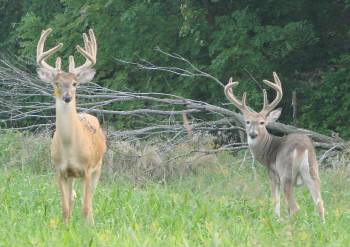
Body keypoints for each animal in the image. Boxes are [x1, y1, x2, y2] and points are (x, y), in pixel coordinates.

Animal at [36, 28, 106, 225]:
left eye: (75, 83)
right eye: (57, 83)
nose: (67, 97)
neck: (70, 147)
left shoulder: (88, 169)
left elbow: (86, 206)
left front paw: (87, 227)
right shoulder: (60, 171)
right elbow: (65, 208)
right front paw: (66, 227)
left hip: (99, 166)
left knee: (89, 200)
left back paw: (91, 222)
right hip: (72, 177)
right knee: (73, 198)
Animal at [224, 72, 326, 223]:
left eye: (262, 122)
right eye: (247, 121)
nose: (253, 134)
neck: (267, 152)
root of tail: (302, 148)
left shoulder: (272, 175)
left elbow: (275, 202)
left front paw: (275, 220)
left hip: (286, 174)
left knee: (295, 207)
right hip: (313, 171)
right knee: (319, 204)